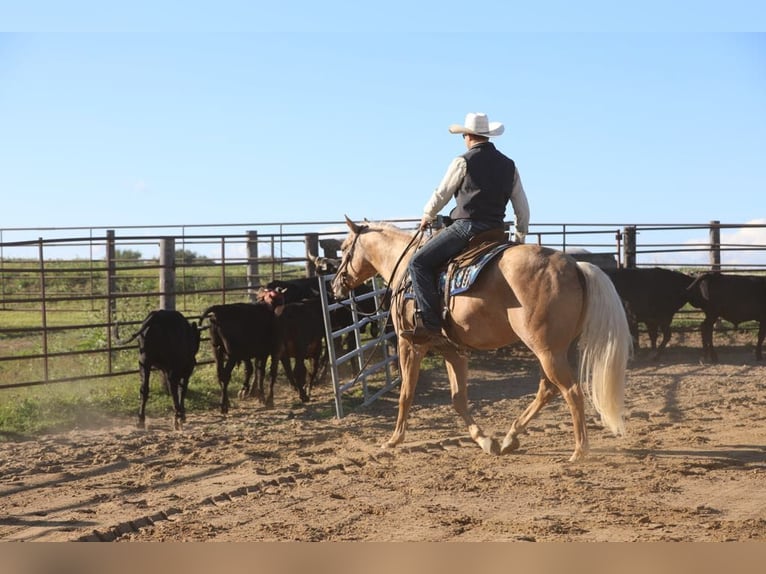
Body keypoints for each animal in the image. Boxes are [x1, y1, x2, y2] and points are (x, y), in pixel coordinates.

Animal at [332, 217, 632, 464]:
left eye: (344, 248)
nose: (335, 286)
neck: (407, 268)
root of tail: (575, 265)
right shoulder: (451, 350)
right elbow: (458, 399)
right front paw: (486, 440)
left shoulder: (411, 345)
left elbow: (406, 393)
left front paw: (394, 440)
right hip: (553, 350)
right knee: (548, 389)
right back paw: (511, 437)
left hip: (548, 351)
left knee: (571, 391)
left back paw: (579, 451)